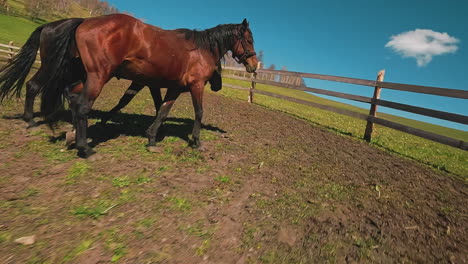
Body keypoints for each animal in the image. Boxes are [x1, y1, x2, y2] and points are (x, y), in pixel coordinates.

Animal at [0, 13, 256, 157]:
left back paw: (68, 134)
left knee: (64, 98)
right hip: (94, 75)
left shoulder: (172, 87)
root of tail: (84, 22)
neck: (199, 49)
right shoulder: (196, 86)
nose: (253, 65)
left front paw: (152, 138)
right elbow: (199, 113)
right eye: (249, 39)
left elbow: (162, 111)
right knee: (76, 104)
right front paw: (197, 142)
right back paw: (83, 146)